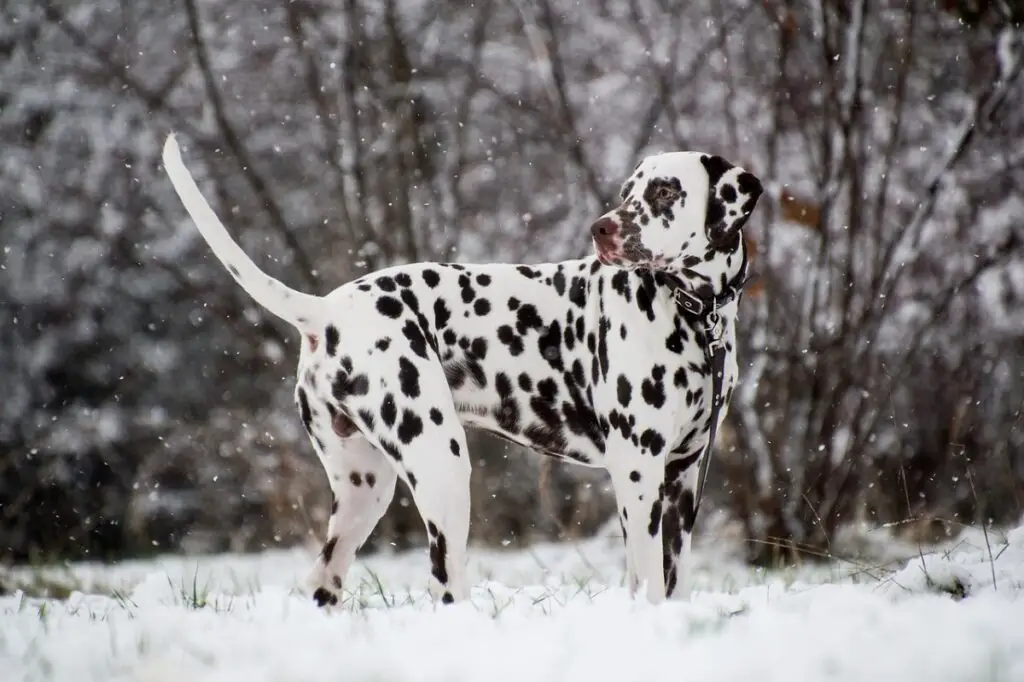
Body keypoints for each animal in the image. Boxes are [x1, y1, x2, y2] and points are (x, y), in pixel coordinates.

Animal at [161, 135, 761, 602]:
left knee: (322, 582)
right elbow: (648, 581)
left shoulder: (682, 478)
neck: (693, 312)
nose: (601, 228)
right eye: (626, 193)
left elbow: (670, 580)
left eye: (664, 191)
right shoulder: (637, 471)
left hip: (364, 492)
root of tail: (327, 309)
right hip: (443, 470)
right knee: (444, 586)